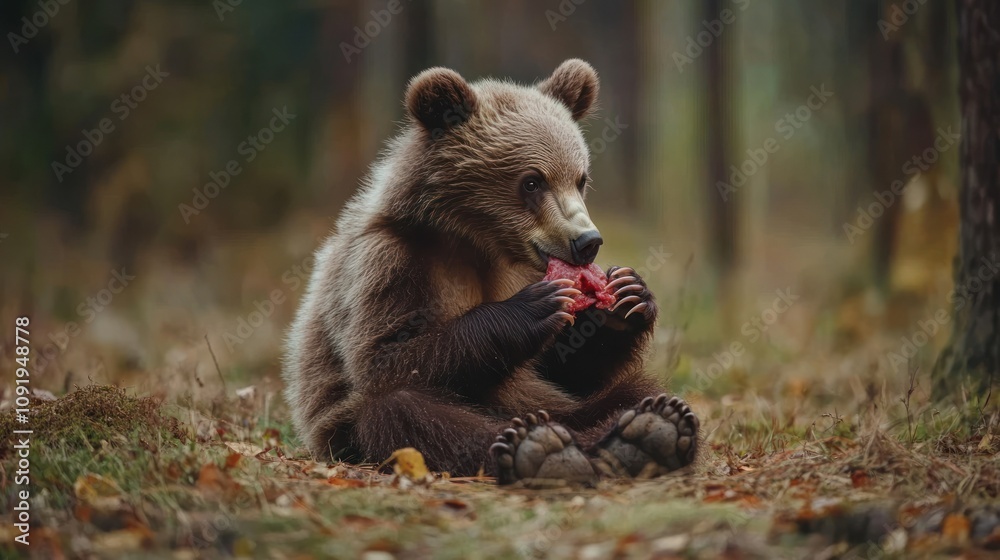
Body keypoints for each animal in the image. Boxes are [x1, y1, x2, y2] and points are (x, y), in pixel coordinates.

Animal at [283, 59, 699, 484]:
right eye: (532, 181)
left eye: (580, 179)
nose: (587, 242)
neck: (477, 242)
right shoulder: (388, 263)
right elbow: (385, 358)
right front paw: (533, 308)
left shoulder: (524, 271)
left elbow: (569, 367)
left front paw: (627, 298)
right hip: (345, 427)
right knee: (406, 410)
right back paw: (542, 448)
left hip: (557, 403)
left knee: (631, 393)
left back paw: (649, 429)